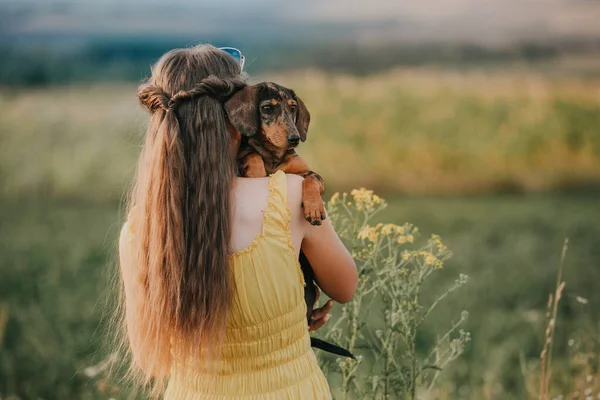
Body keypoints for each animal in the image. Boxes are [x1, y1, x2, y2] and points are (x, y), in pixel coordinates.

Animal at [227, 81, 354, 360]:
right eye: (267, 108)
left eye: (293, 107)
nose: (295, 137)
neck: (273, 158)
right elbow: (250, 155)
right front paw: (256, 168)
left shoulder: (308, 173)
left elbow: (311, 180)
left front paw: (314, 208)